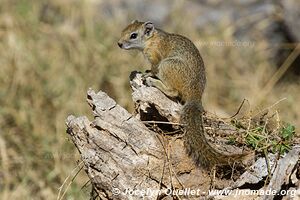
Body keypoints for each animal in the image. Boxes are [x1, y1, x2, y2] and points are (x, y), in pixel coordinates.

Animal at [118, 20, 247, 168]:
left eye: (133, 35)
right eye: (124, 30)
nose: (119, 44)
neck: (152, 39)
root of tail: (195, 95)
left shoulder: (156, 58)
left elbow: (154, 69)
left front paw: (148, 75)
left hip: (167, 65)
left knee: (173, 92)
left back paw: (154, 82)